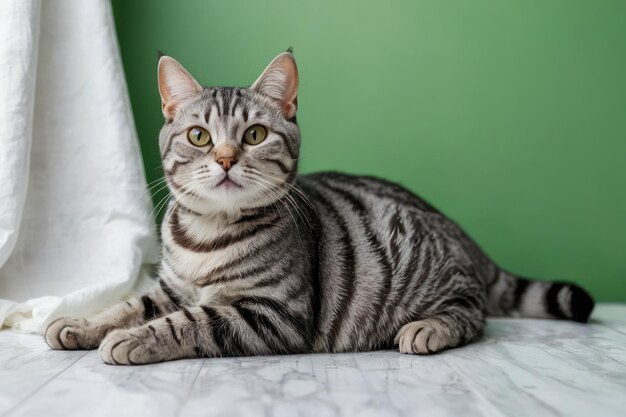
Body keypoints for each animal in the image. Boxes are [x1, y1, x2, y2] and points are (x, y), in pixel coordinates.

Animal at [46, 49, 592, 364]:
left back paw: (428, 328)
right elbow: (126, 305)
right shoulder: (172, 288)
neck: (206, 233)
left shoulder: (272, 313)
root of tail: (462, 235)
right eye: (199, 136)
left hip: (433, 270)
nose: (224, 158)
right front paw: (81, 325)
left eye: (254, 134)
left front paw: (135, 339)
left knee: (473, 312)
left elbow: (189, 322)